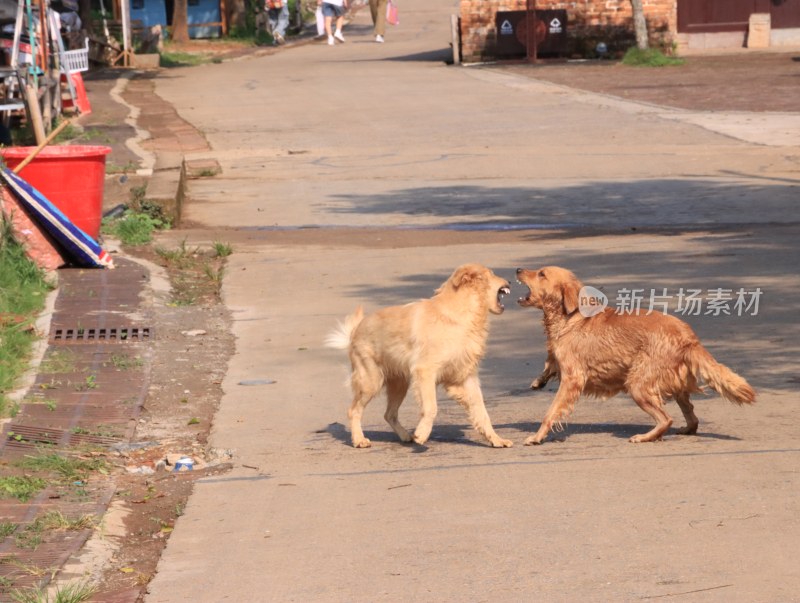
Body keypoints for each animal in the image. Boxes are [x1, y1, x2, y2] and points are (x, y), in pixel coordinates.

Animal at [324, 264, 512, 448]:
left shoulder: (465, 377)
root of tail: (355, 331)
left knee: (389, 414)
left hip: (399, 384)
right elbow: (431, 407)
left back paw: (405, 436)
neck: (459, 314)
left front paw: (496, 439)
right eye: (492, 273)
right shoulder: (426, 372)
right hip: (371, 382)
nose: (510, 281)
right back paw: (359, 440)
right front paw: (422, 433)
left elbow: (481, 411)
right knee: (353, 411)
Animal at [516, 266, 752, 446]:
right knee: (691, 416)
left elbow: (550, 412)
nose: (518, 269)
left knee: (666, 419)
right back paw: (686, 429)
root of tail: (688, 337)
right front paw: (538, 381)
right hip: (673, 384)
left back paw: (644, 436)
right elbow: (549, 365)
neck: (570, 317)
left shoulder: (573, 378)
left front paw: (536, 437)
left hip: (638, 384)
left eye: (541, 274)